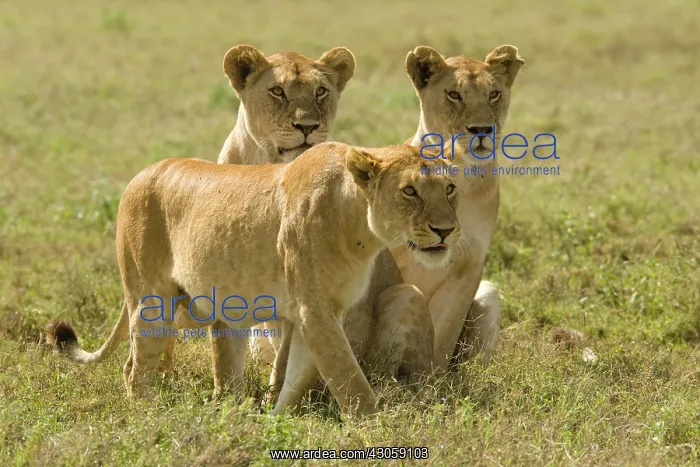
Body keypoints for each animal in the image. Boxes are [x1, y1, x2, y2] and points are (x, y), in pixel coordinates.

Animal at [45, 142, 460, 418]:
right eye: (410, 190)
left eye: (449, 188)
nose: (447, 230)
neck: (359, 224)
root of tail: (140, 174)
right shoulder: (315, 310)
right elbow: (349, 378)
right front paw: (376, 429)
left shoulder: (319, 312)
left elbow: (298, 377)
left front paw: (274, 421)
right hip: (151, 303)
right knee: (135, 367)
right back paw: (146, 418)